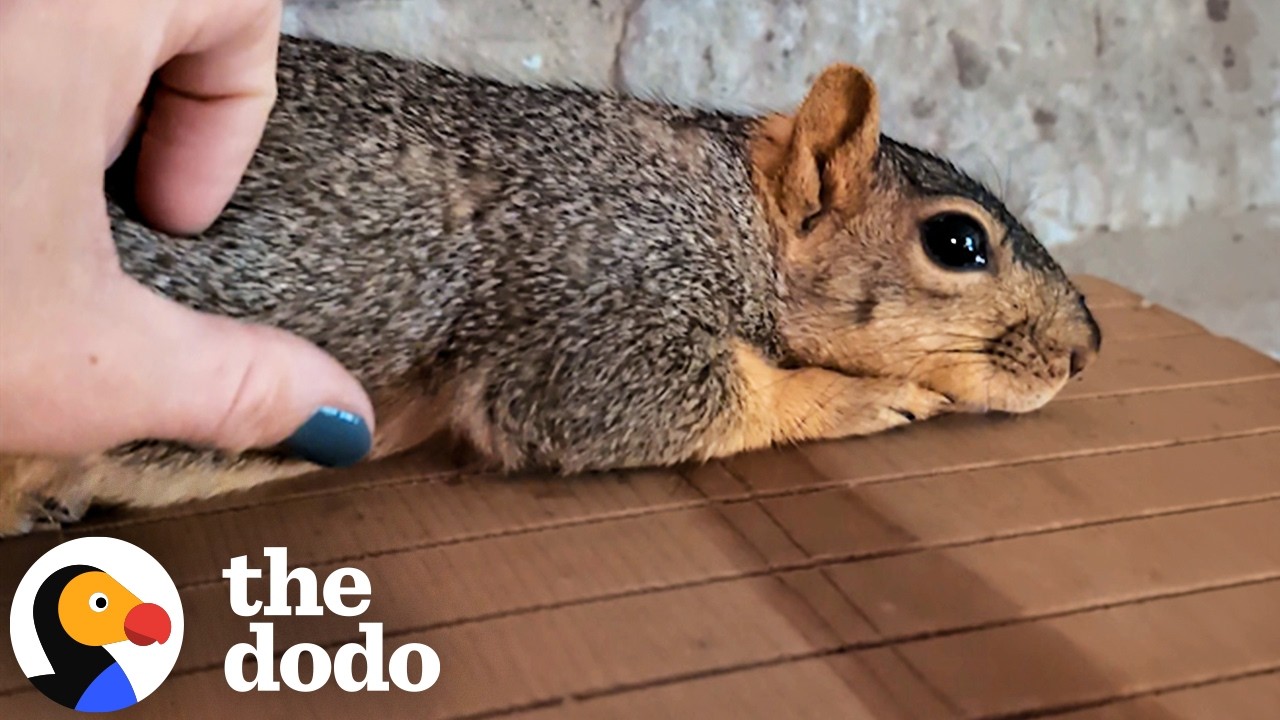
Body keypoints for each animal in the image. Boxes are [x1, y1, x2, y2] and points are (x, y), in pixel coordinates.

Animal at [0, 36, 1100, 535]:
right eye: (956, 242)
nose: (1087, 349)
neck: (725, 210)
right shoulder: (593, 295)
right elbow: (656, 400)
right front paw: (857, 395)